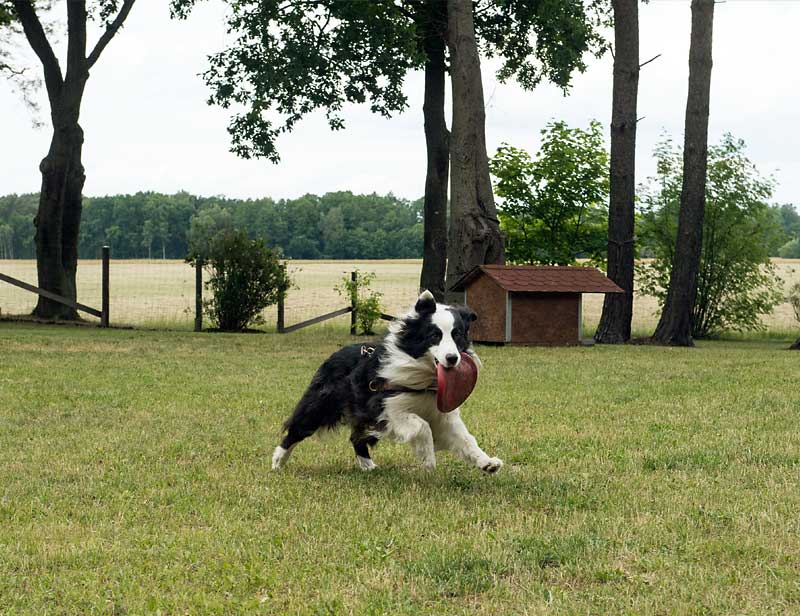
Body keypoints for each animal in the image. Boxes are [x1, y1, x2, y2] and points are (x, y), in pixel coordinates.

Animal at [272, 292, 504, 474]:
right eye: (434, 335)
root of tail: (334, 354)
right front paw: (427, 457)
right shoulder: (386, 409)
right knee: (298, 427)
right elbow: (421, 425)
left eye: (457, 335)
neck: (425, 375)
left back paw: (368, 466)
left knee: (356, 437)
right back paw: (278, 461)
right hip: (323, 403)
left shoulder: (442, 414)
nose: (452, 358)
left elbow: (465, 438)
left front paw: (487, 462)